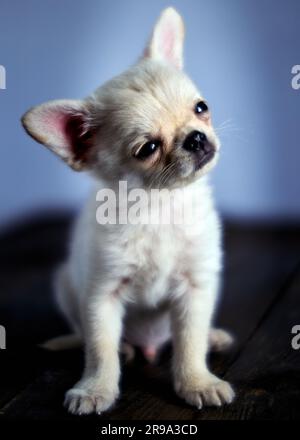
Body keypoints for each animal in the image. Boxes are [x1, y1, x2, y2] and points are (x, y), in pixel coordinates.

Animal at [22, 6, 236, 414]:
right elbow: (99, 349)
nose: (196, 137)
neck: (158, 205)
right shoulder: (100, 296)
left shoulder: (195, 287)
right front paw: (95, 389)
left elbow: (189, 342)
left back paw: (213, 336)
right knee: (89, 337)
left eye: (201, 108)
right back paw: (125, 348)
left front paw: (196, 382)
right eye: (147, 148)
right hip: (65, 284)